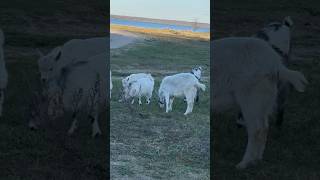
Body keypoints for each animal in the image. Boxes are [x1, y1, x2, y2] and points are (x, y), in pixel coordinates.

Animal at [212, 36, 308, 169]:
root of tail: (276, 64)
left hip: (251, 98)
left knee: (256, 130)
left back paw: (244, 163)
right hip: (263, 101)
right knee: (264, 128)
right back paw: (257, 159)